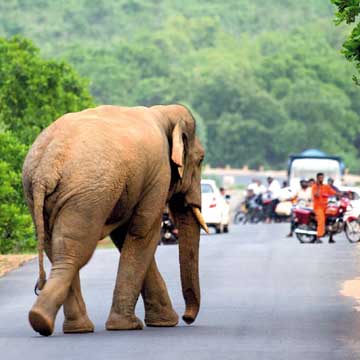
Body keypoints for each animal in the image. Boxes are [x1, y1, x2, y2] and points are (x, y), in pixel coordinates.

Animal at [21, 104, 208, 338]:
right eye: (201, 159)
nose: (187, 318)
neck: (162, 113)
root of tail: (45, 168)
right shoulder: (159, 175)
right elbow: (143, 233)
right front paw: (129, 326)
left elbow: (124, 235)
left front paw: (163, 322)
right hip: (87, 197)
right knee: (75, 252)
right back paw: (47, 321)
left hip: (40, 194)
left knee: (56, 248)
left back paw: (69, 327)